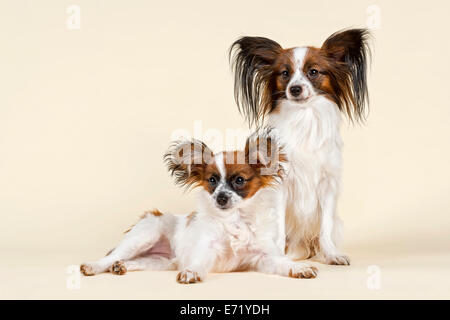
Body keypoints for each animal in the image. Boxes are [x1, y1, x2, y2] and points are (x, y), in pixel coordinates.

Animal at [81, 131, 320, 284]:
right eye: (212, 181)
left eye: (239, 180)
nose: (221, 198)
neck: (234, 220)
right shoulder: (207, 248)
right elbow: (199, 261)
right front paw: (192, 272)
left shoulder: (263, 258)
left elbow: (283, 262)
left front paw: (299, 268)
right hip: (144, 235)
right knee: (112, 256)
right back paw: (95, 266)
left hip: (160, 261)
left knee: (135, 261)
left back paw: (122, 266)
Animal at [230, 29, 370, 264]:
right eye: (285, 74)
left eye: (313, 72)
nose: (295, 89)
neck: (305, 119)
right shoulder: (281, 185)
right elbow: (278, 227)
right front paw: (278, 255)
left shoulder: (327, 185)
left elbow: (325, 227)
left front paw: (331, 254)